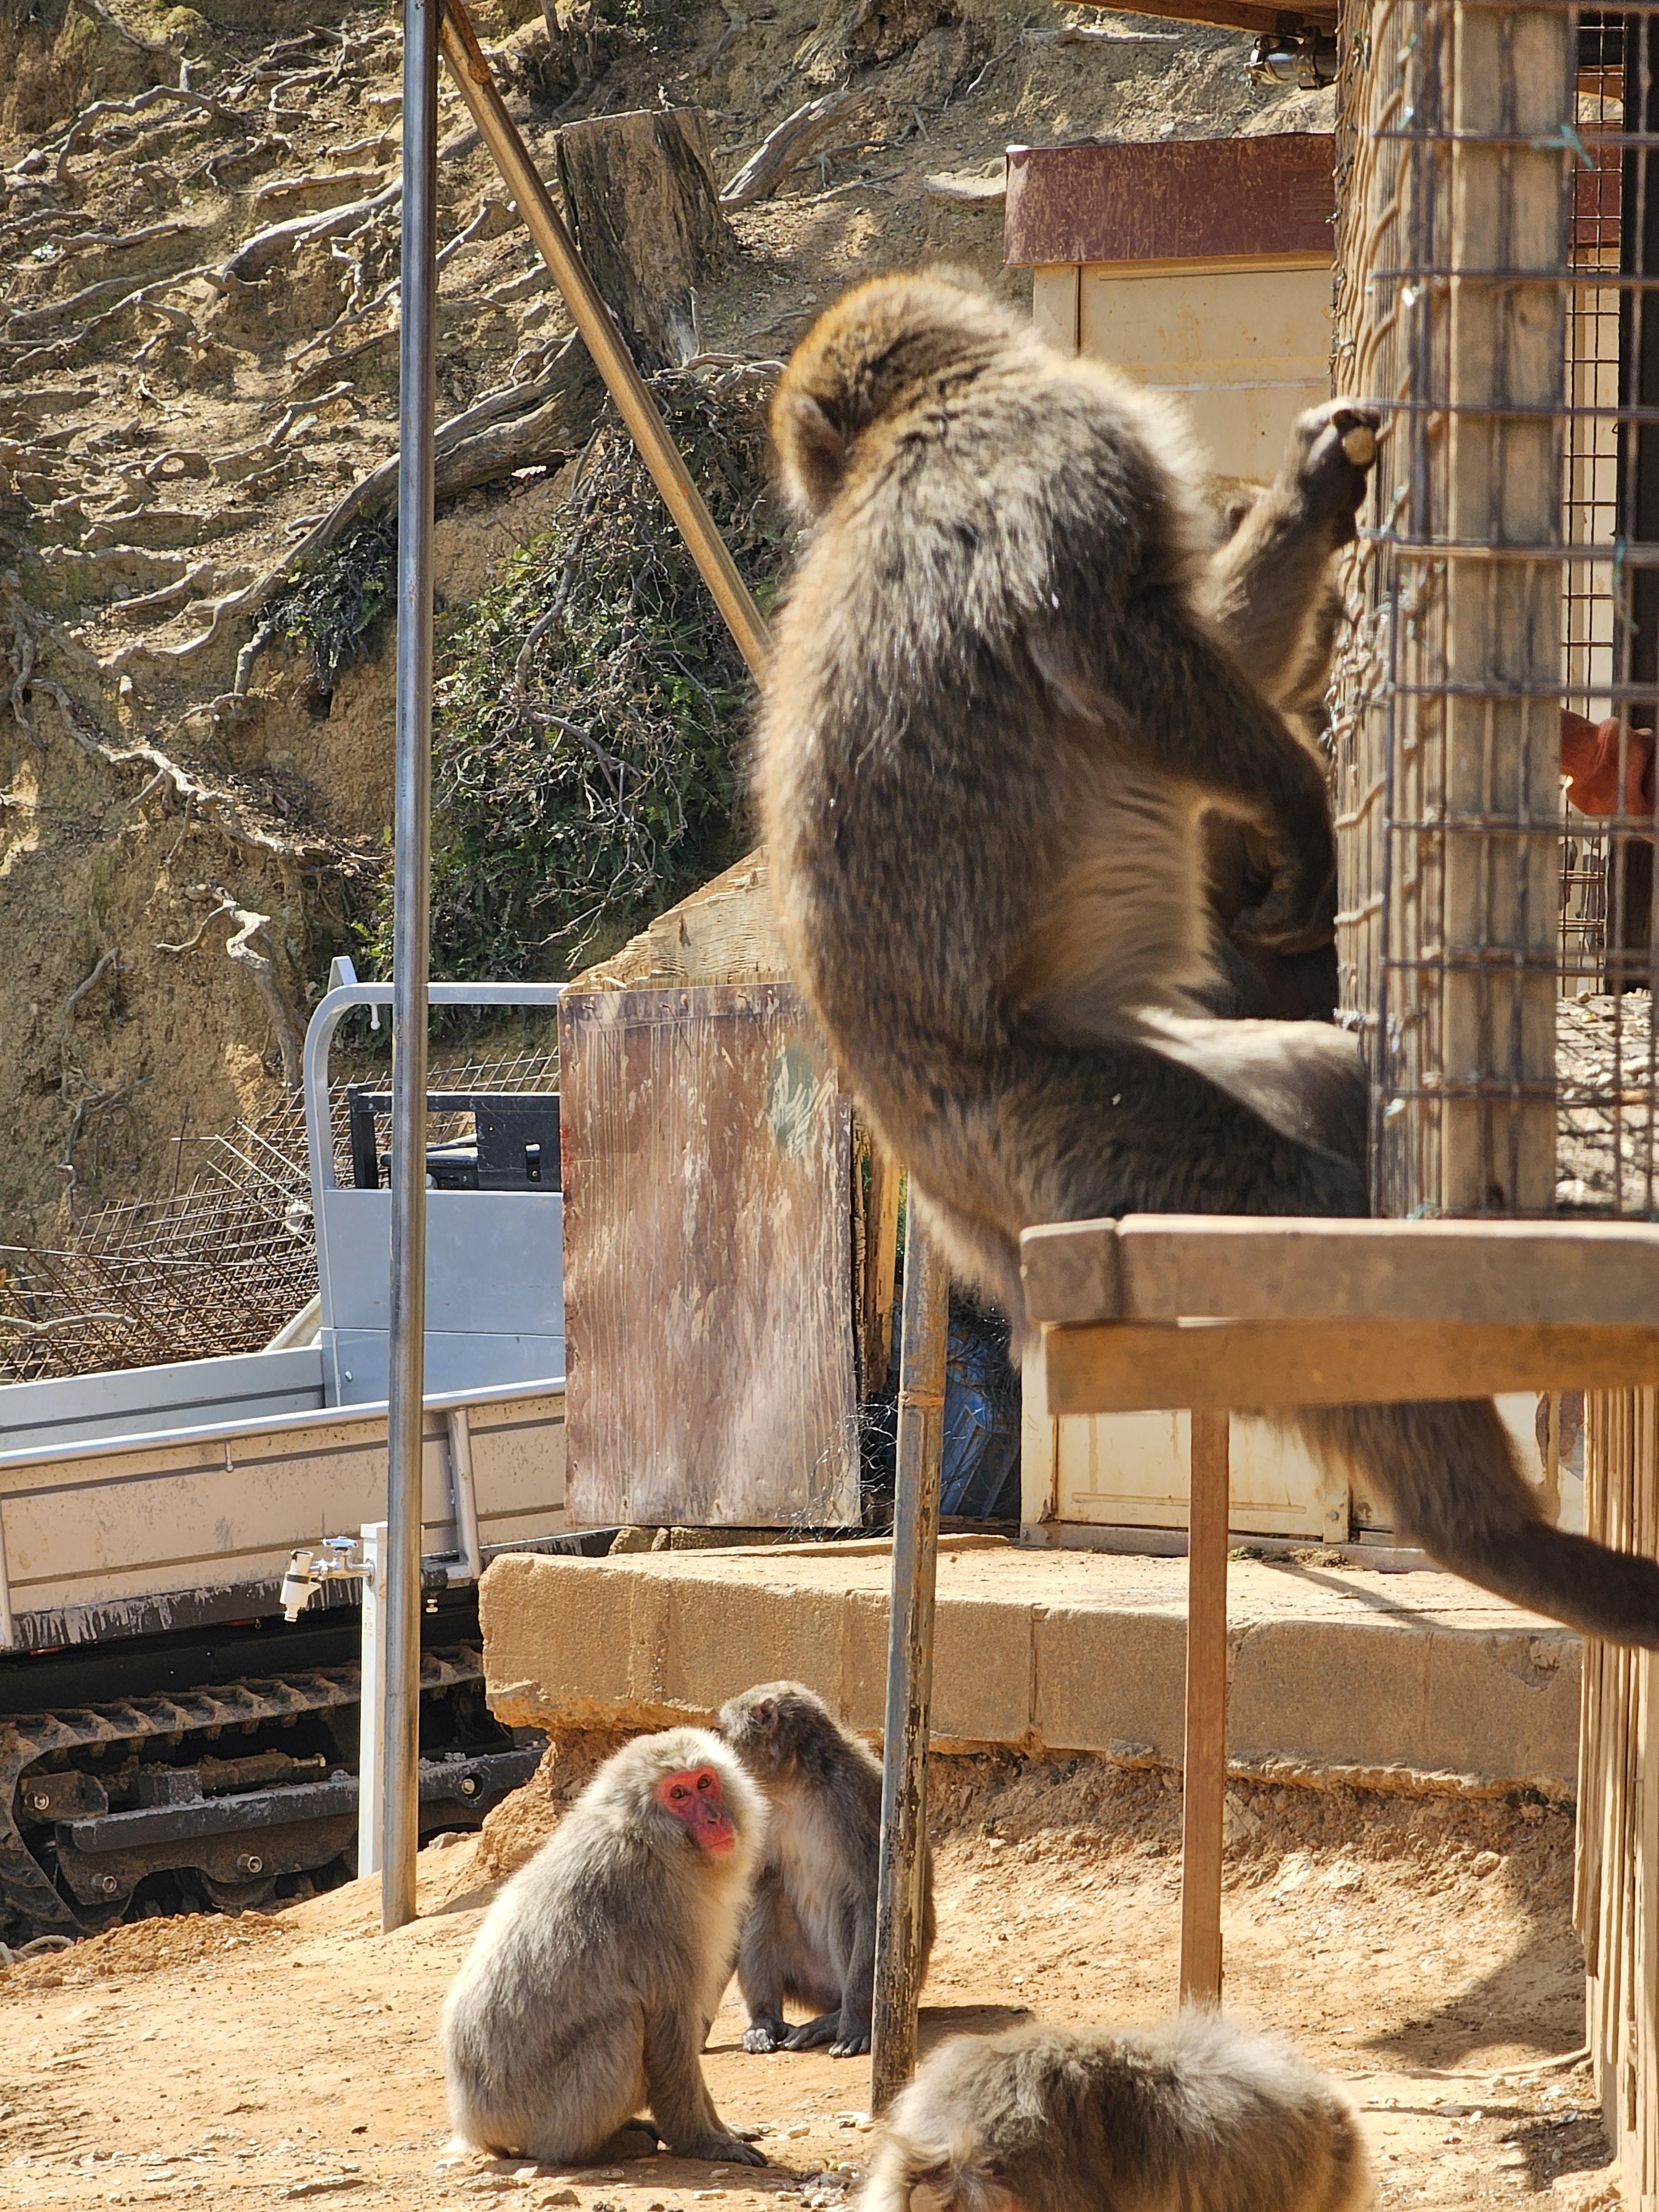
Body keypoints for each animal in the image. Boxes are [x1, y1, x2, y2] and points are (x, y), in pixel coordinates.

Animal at [445, 1725, 779, 2159]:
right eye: (679, 1794)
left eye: (705, 1783)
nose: (715, 1817)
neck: (650, 1841)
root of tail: (473, 2125)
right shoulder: (654, 1905)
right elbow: (671, 2020)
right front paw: (704, 2141)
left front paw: (723, 2130)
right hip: (538, 2117)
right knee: (623, 2023)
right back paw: (598, 2149)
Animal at [717, 1681, 938, 2062]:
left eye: (725, 1732)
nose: (720, 1758)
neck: (792, 1786)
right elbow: (742, 1898)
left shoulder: (851, 1800)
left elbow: (873, 1900)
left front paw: (854, 2025)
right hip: (807, 1982)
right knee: (766, 1892)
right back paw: (764, 2019)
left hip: (831, 1982)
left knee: (843, 1906)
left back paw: (836, 2018)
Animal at [761, 268, 1659, 1655]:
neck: (921, 423)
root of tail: (954, 1196)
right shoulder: (1054, 443)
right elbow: (1114, 650)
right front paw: (1302, 810)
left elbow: (1205, 641)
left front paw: (1315, 497)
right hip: (1060, 1128)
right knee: (1301, 1215)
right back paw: (1491, 1532)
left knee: (1323, 1089)